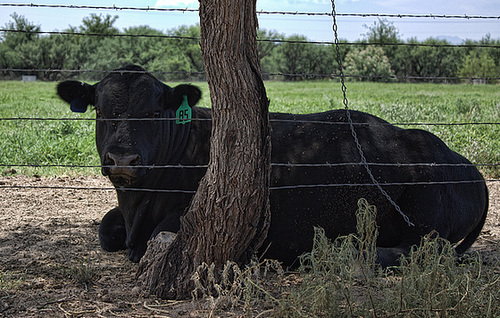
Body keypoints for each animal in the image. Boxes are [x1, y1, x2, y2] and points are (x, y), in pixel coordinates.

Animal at [55, 66, 488, 268]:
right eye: (102, 110)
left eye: (153, 111)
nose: (123, 159)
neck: (139, 204)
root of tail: (464, 164)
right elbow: (105, 229)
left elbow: (152, 241)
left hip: (424, 227)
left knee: (415, 252)